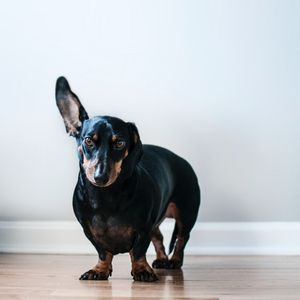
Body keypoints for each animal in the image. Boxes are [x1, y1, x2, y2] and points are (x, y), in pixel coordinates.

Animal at [55, 77, 200, 282]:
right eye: (88, 141)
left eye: (119, 143)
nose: (100, 176)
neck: (105, 197)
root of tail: (181, 159)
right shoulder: (89, 231)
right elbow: (103, 252)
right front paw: (100, 269)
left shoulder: (143, 228)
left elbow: (138, 250)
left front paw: (141, 270)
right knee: (159, 237)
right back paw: (162, 259)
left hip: (186, 214)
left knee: (181, 238)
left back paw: (174, 261)